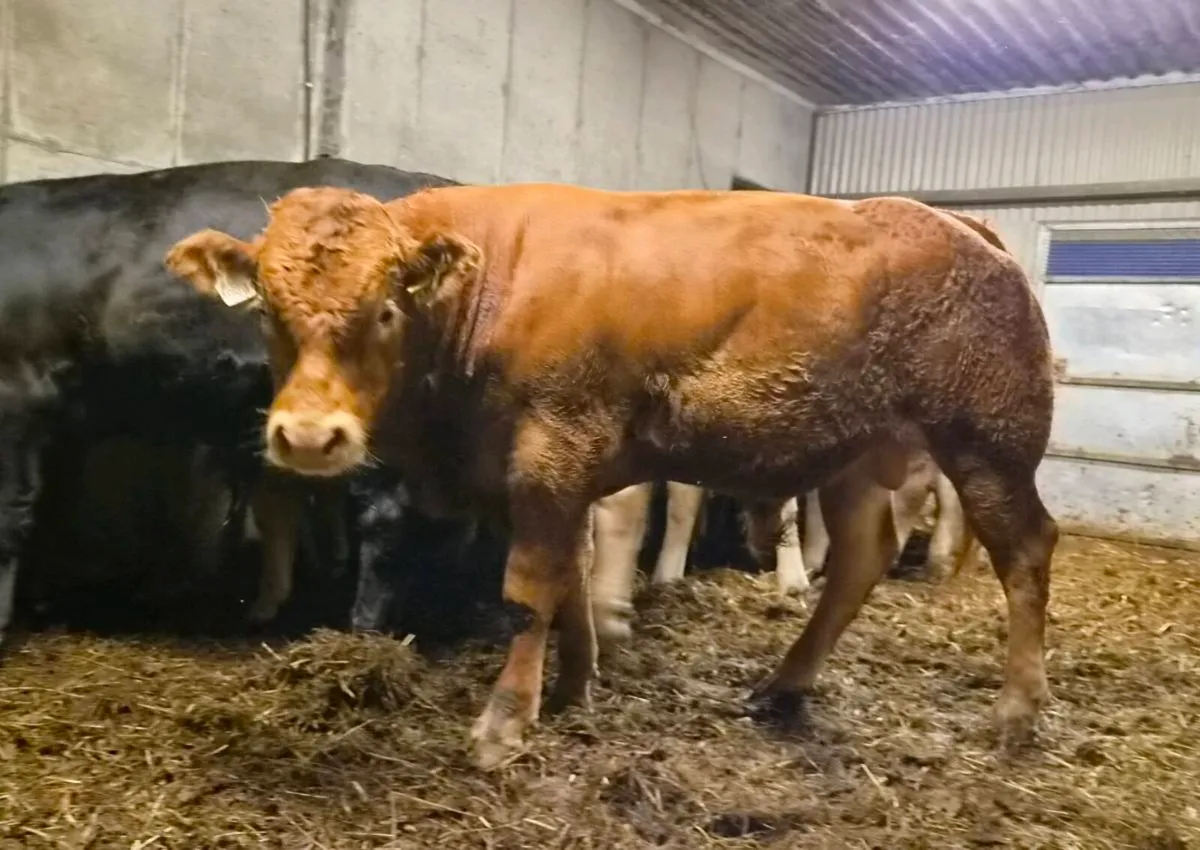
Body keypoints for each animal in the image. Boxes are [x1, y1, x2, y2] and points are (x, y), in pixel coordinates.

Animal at [167, 183, 1058, 770]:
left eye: (386, 308)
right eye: (267, 312)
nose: (309, 436)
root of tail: (958, 220)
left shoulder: (551, 450)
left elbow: (529, 586)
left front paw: (504, 724)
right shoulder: (540, 474)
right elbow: (571, 574)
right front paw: (576, 684)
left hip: (990, 446)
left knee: (1026, 554)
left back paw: (1015, 714)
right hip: (860, 457)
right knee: (862, 558)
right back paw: (783, 684)